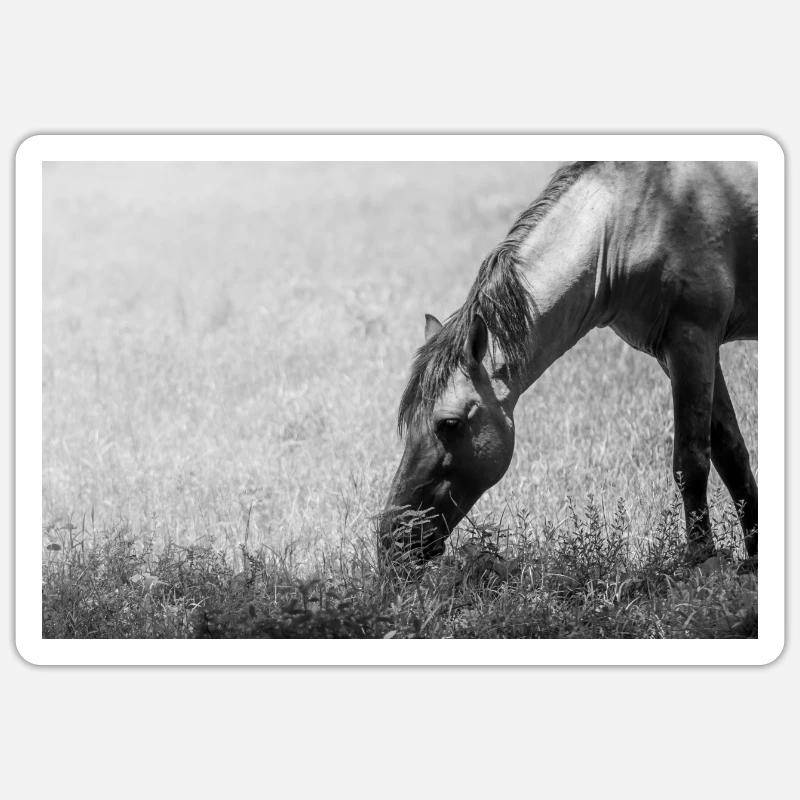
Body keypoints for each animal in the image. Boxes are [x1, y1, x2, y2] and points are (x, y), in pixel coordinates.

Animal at [380, 161, 758, 570]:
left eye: (449, 424)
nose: (392, 539)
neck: (629, 219)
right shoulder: (680, 354)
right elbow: (731, 453)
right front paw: (753, 560)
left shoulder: (693, 339)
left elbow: (692, 461)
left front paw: (703, 563)